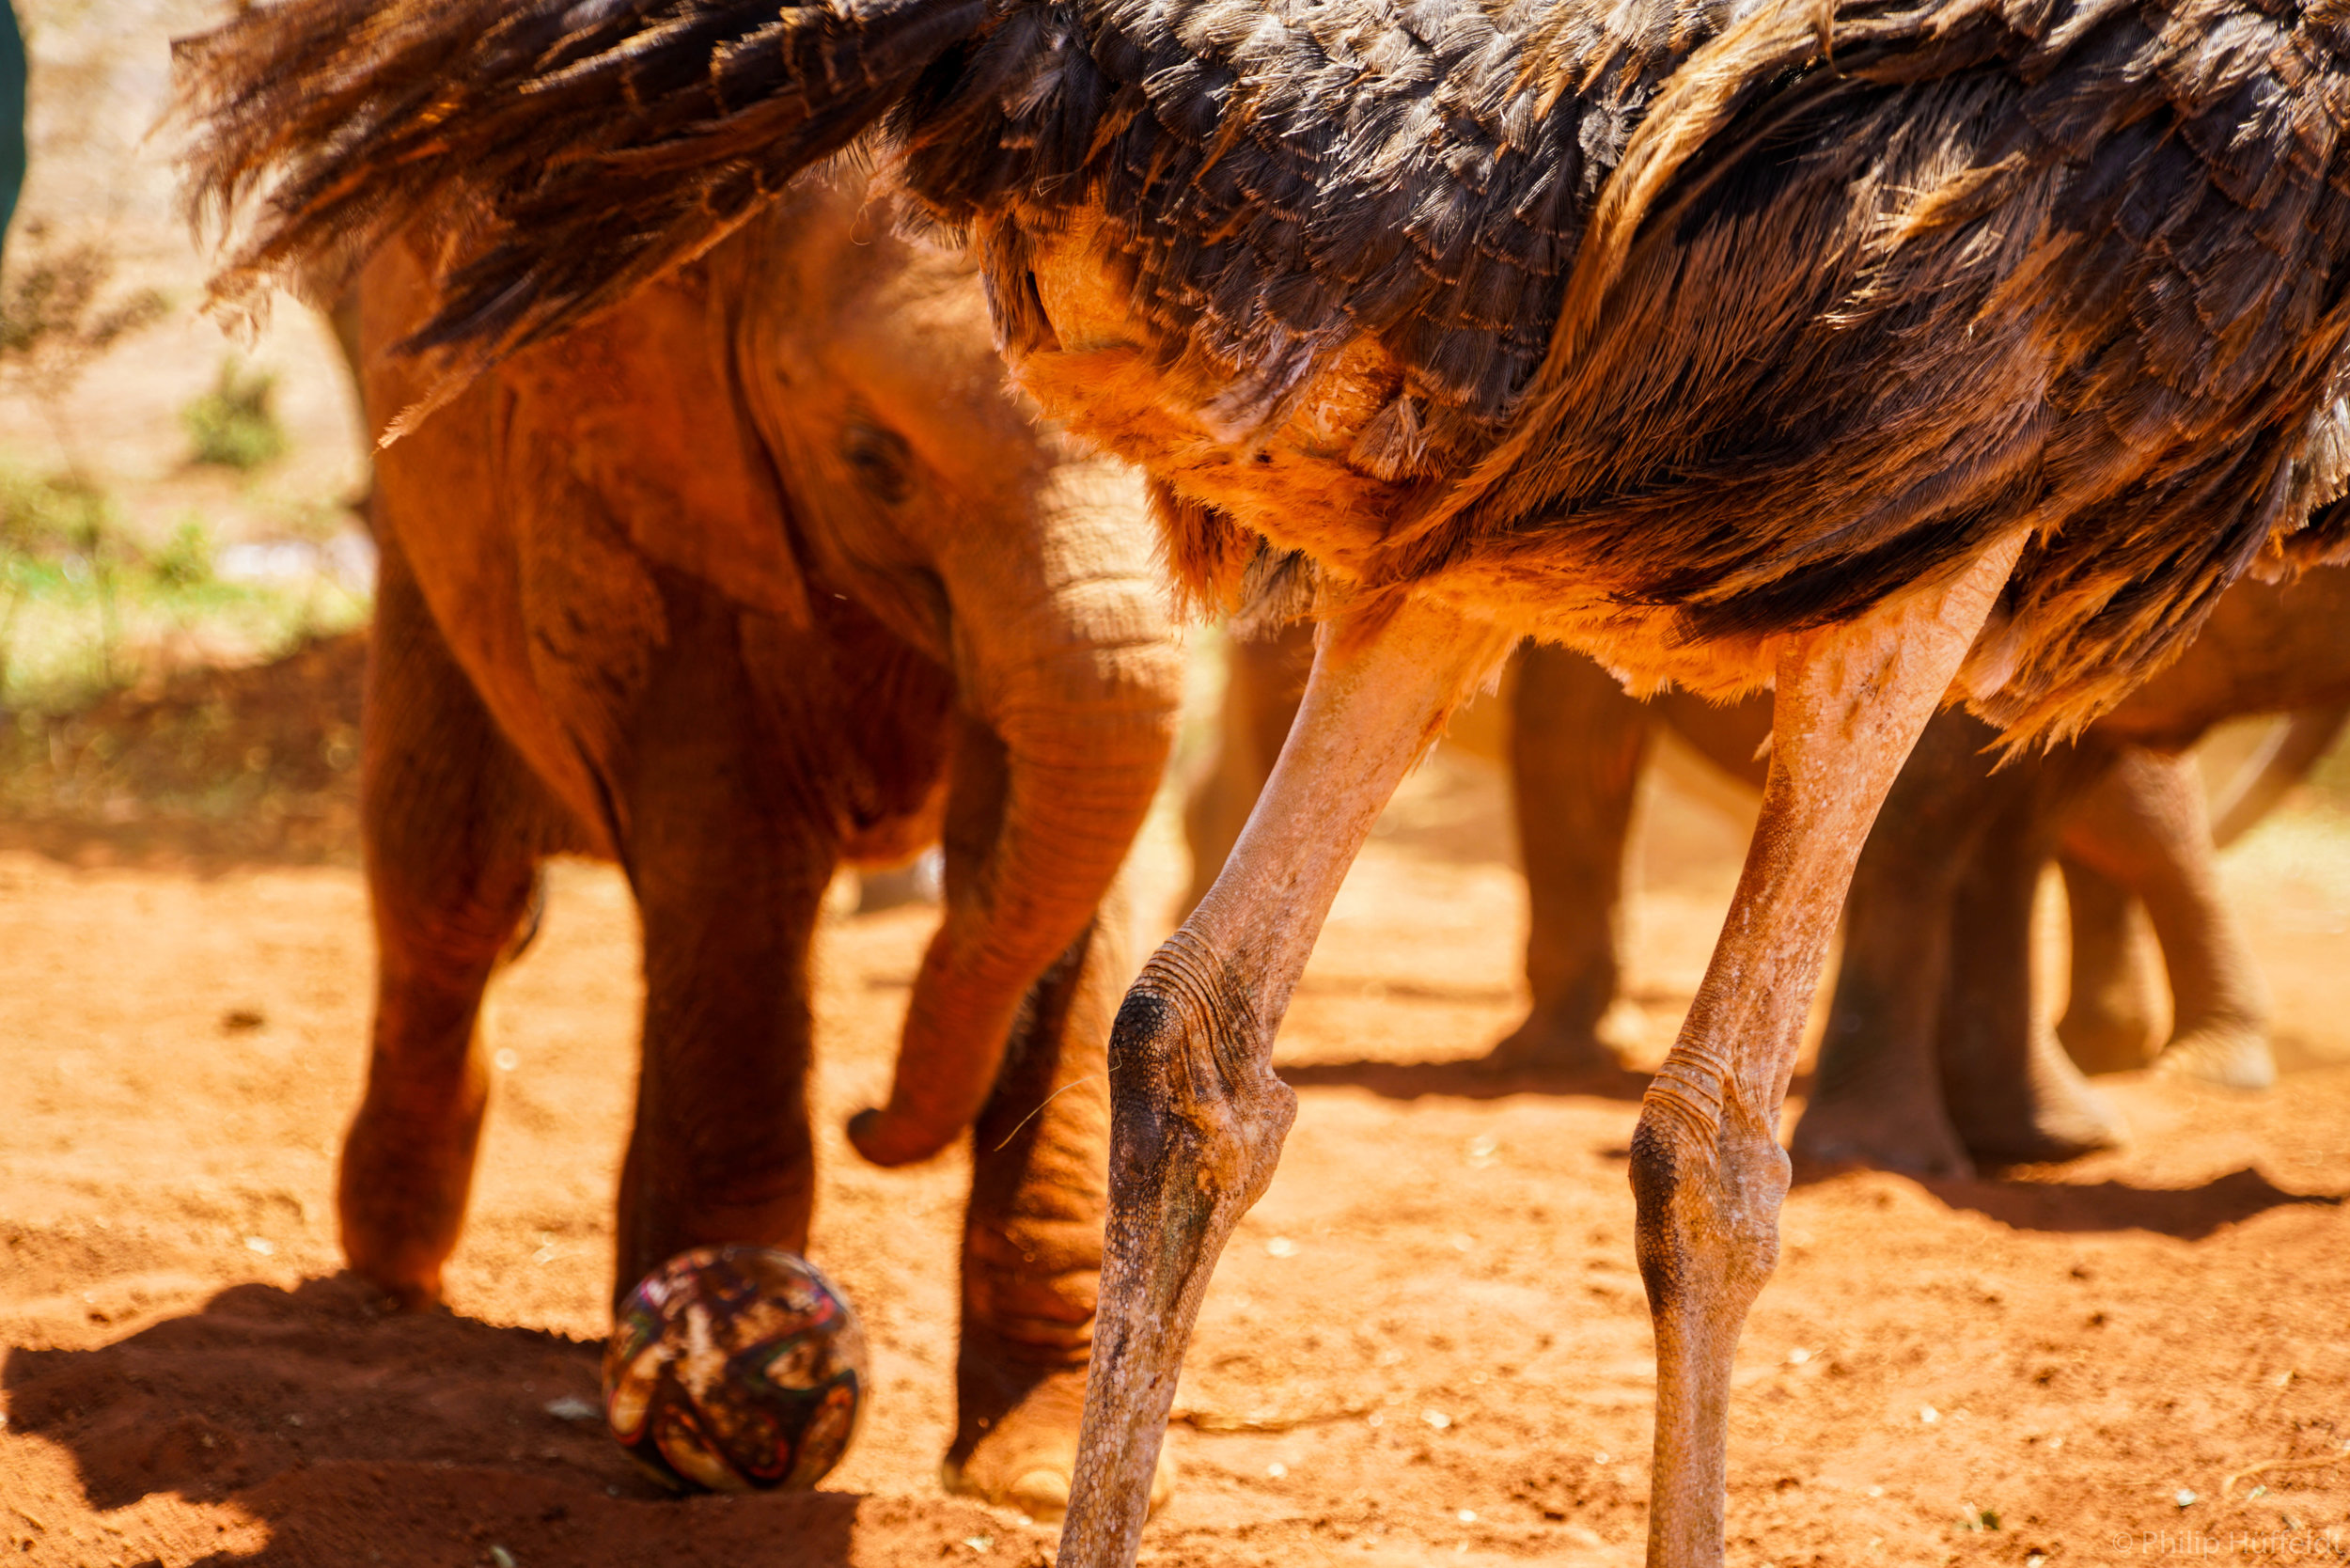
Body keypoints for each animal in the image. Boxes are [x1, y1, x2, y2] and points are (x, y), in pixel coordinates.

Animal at [340, 169, 1184, 1523]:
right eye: (873, 460)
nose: (868, 1115)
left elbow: (1069, 862)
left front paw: (1034, 1474)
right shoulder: (645, 456)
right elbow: (731, 849)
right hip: (425, 550)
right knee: (446, 899)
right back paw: (392, 1281)